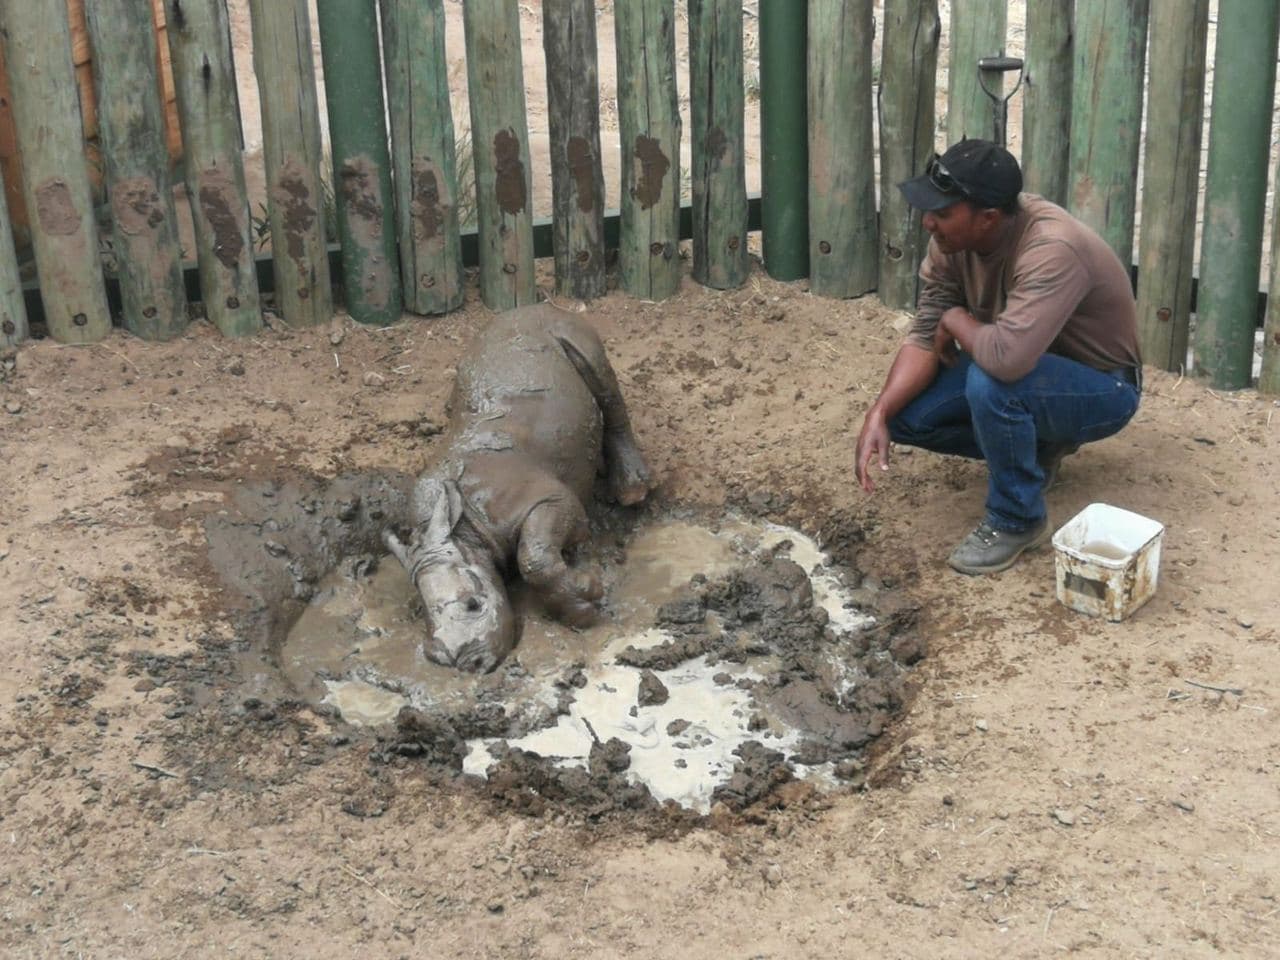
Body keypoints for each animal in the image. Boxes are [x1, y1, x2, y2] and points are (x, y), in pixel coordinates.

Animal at [383, 304, 653, 672]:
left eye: (473, 604)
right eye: (423, 618)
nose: (463, 663)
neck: (463, 529)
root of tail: (532, 306)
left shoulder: (547, 499)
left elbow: (534, 557)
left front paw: (585, 605)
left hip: (565, 328)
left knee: (600, 377)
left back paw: (632, 492)